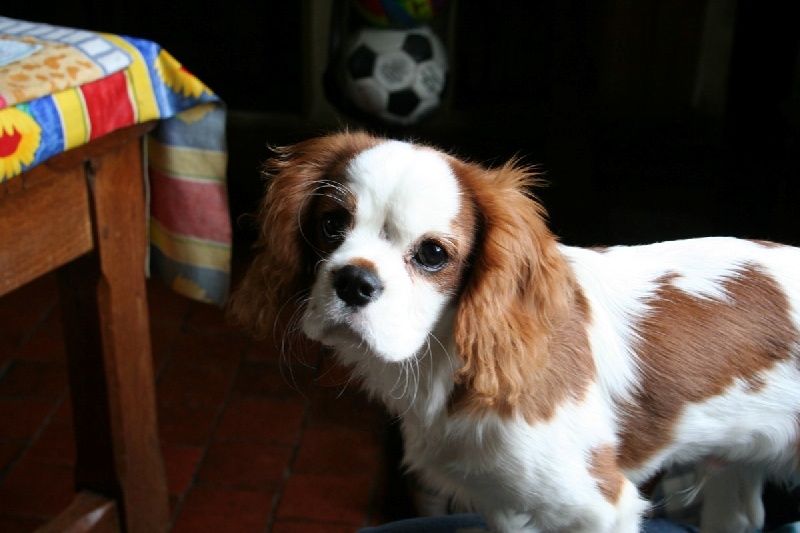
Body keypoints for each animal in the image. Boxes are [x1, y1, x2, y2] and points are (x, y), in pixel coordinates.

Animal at [230, 130, 800, 532]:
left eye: (432, 254)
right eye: (331, 225)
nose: (354, 281)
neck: (444, 360)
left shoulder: (600, 507)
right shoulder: (504, 504)